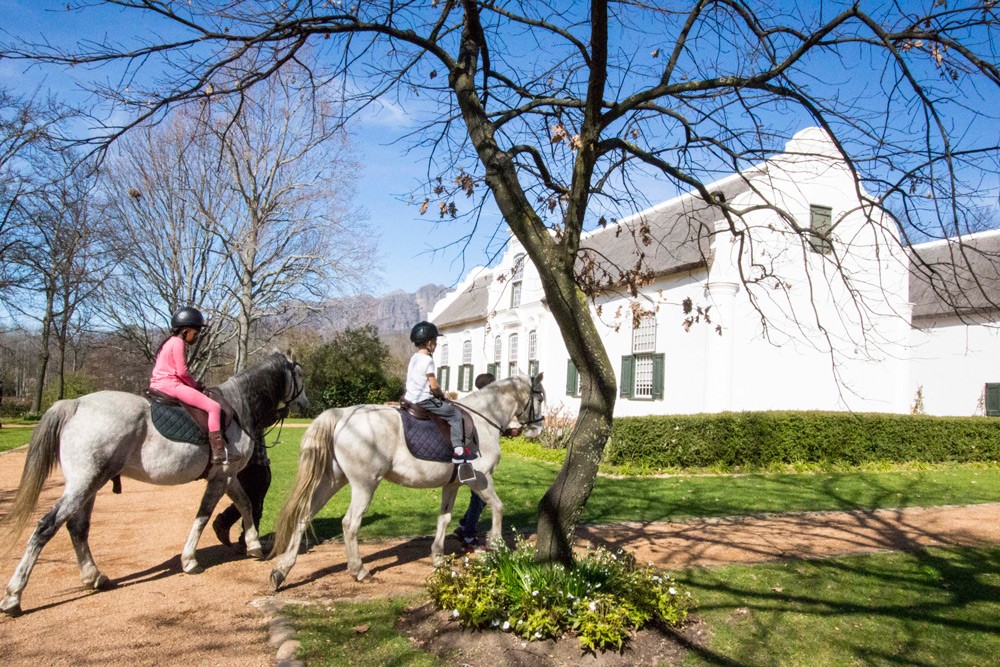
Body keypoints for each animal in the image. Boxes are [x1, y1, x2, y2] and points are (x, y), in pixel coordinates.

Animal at [0, 352, 306, 620]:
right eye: (300, 375)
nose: (305, 404)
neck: (236, 408)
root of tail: (75, 405)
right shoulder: (222, 477)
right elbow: (204, 515)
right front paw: (189, 560)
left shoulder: (227, 476)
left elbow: (244, 503)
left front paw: (253, 545)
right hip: (83, 485)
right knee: (45, 527)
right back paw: (14, 596)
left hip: (89, 486)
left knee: (78, 528)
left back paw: (93, 576)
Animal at [270, 376, 544, 588]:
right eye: (540, 398)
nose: (538, 430)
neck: (483, 419)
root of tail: (344, 414)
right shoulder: (480, 480)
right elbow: (498, 507)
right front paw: (498, 547)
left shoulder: (452, 485)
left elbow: (444, 519)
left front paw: (437, 557)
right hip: (364, 485)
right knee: (350, 524)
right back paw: (359, 570)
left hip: (333, 481)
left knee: (304, 515)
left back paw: (281, 571)